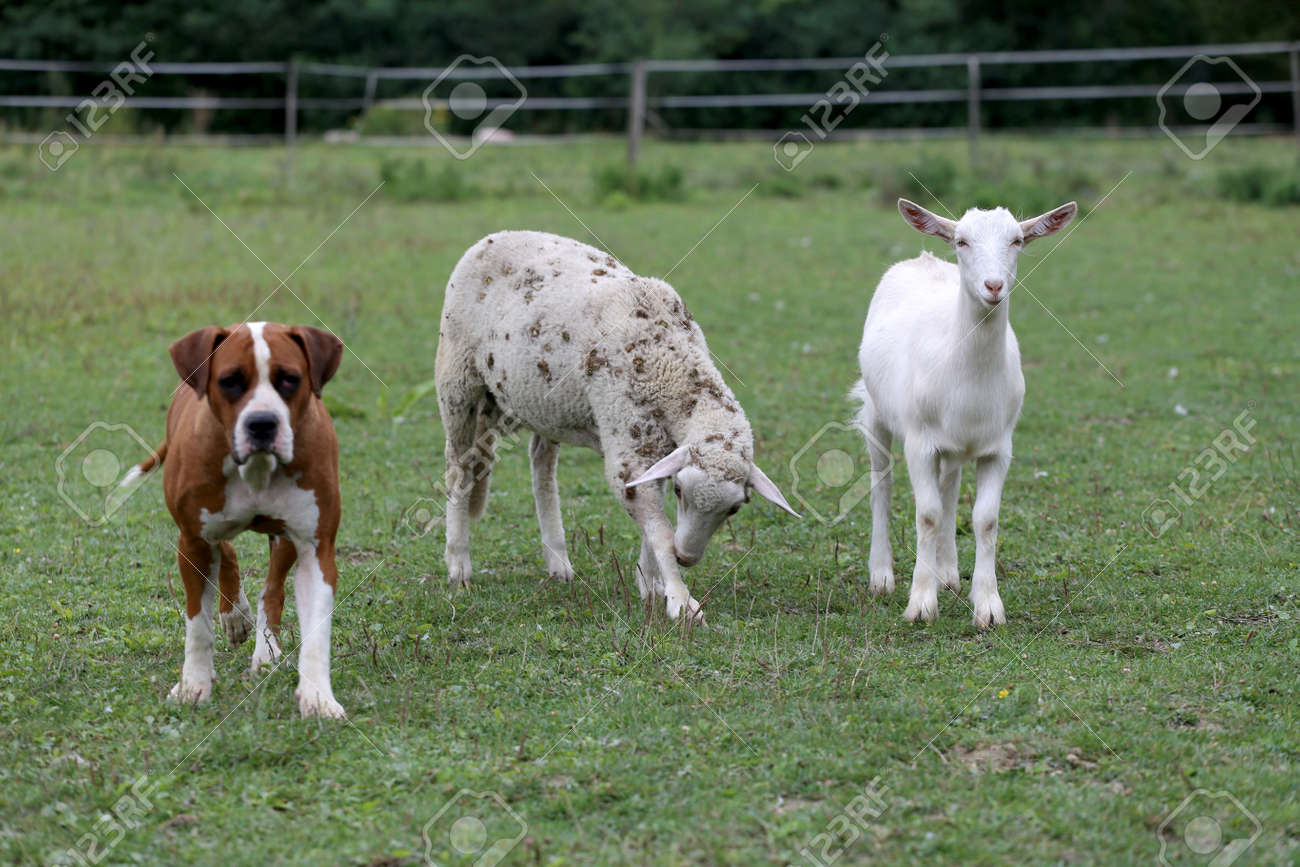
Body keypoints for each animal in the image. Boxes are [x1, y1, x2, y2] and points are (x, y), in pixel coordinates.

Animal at [434, 230, 799, 622]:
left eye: (733, 509)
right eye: (681, 491)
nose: (687, 558)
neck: (671, 366)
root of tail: (497, 236)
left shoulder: (654, 448)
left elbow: (655, 524)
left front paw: (651, 584)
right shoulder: (629, 450)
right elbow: (659, 530)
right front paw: (681, 601)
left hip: (544, 401)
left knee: (541, 466)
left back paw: (558, 561)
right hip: (457, 381)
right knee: (458, 469)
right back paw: (458, 565)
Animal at [851, 197, 1076, 627]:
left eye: (1017, 240)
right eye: (961, 241)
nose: (994, 286)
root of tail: (923, 257)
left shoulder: (998, 448)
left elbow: (984, 519)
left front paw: (987, 606)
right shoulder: (920, 443)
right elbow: (927, 514)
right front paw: (921, 605)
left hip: (954, 447)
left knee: (950, 489)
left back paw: (949, 574)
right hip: (876, 413)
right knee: (881, 485)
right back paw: (881, 576)